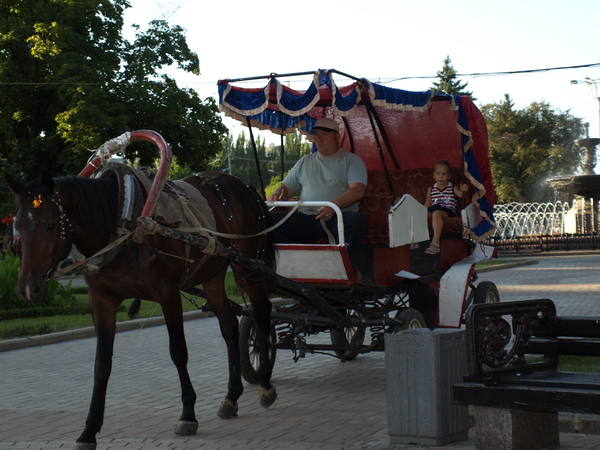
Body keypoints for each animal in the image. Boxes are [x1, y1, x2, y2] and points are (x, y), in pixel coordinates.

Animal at [5, 168, 278, 450]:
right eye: (18, 226)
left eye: (50, 225)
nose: (28, 289)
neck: (121, 223)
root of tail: (243, 186)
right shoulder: (100, 299)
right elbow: (102, 364)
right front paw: (89, 430)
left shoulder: (168, 294)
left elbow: (178, 352)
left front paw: (188, 415)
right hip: (212, 273)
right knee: (229, 325)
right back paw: (232, 396)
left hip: (248, 268)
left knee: (262, 312)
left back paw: (265, 382)